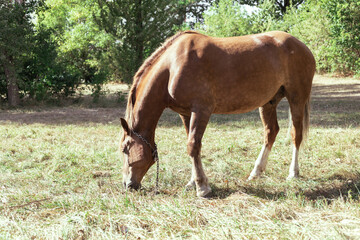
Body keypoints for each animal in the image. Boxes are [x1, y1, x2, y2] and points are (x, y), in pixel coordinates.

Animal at [119, 30, 314, 197]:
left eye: (125, 149)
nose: (128, 185)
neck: (172, 66)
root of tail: (302, 46)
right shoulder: (185, 113)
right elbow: (191, 144)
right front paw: (192, 182)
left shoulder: (202, 110)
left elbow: (193, 145)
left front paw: (202, 187)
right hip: (268, 103)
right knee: (271, 132)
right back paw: (256, 172)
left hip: (296, 98)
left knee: (296, 134)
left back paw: (293, 173)